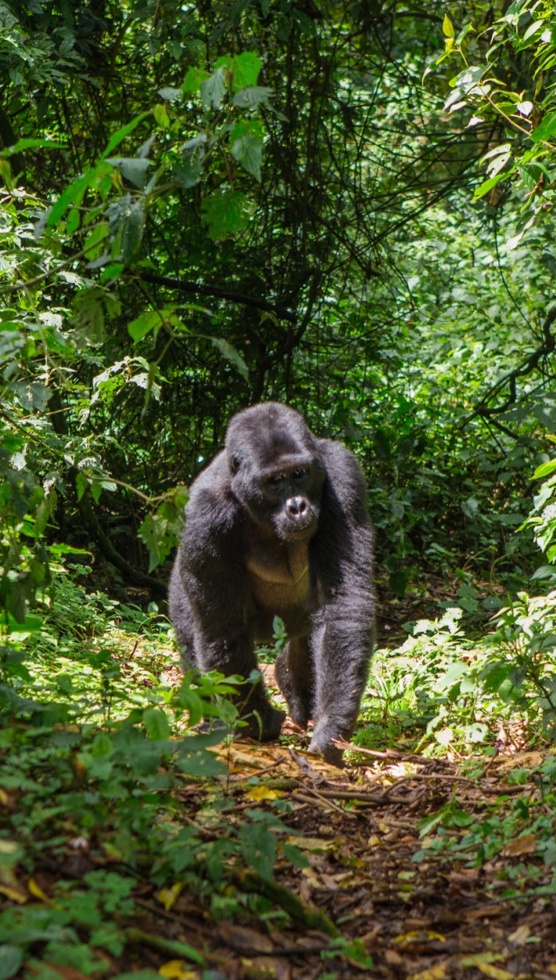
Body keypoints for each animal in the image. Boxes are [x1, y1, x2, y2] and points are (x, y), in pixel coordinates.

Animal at [168, 402, 374, 766]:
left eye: (300, 474)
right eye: (274, 481)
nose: (298, 507)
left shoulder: (342, 474)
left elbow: (343, 604)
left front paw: (331, 726)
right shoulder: (206, 515)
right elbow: (223, 630)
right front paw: (258, 722)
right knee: (194, 636)